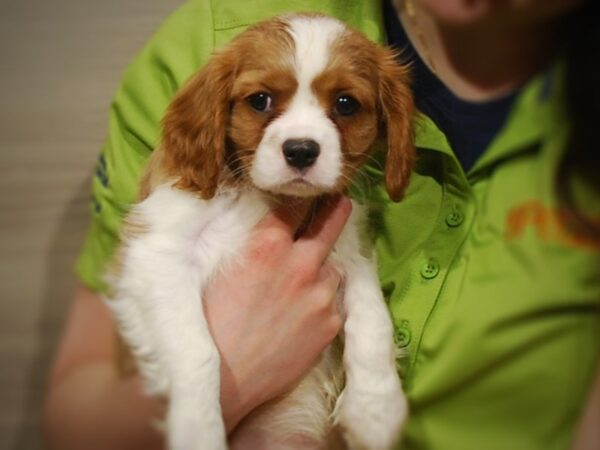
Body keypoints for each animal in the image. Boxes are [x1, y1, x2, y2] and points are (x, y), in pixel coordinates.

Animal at [105, 13, 414, 450]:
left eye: (346, 104)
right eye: (260, 101)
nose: (301, 150)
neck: (263, 195)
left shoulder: (349, 249)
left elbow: (373, 318)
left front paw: (377, 409)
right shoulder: (157, 250)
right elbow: (197, 350)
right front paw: (197, 428)